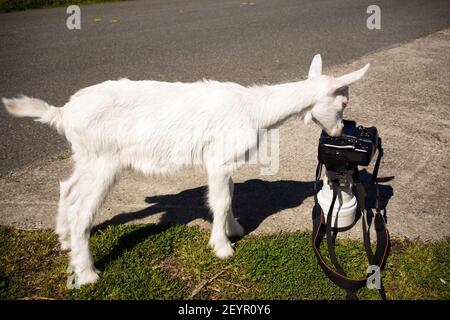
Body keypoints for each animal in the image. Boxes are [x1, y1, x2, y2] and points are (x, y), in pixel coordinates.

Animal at [2, 54, 370, 284]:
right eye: (343, 101)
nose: (339, 130)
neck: (254, 109)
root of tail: (63, 114)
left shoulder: (226, 163)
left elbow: (230, 195)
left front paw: (234, 228)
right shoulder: (218, 160)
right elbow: (219, 201)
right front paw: (222, 248)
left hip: (85, 157)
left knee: (67, 188)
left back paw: (64, 240)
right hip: (103, 160)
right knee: (82, 211)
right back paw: (87, 273)